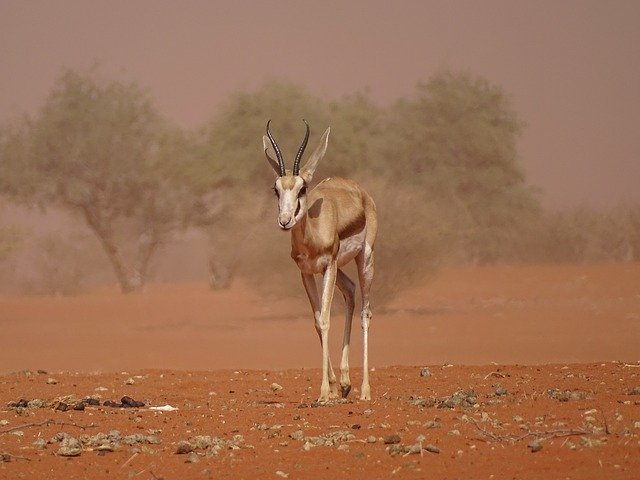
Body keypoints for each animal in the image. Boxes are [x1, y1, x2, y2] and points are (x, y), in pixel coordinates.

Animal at [262, 120, 378, 402]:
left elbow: (325, 319)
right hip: (340, 271)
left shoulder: (328, 265)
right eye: (276, 189)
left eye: (302, 188)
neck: (313, 233)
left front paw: (324, 391)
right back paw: (346, 383)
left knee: (366, 312)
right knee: (350, 290)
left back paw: (365, 390)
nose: (284, 221)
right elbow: (317, 322)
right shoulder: (306, 272)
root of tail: (357, 188)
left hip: (364, 258)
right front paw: (334, 387)